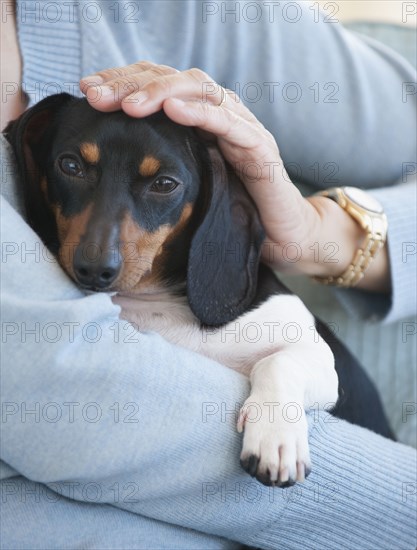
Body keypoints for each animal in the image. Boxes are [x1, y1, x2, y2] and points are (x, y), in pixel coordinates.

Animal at [4, 94, 392, 488]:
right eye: (70, 165)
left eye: (164, 183)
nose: (95, 269)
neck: (160, 302)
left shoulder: (319, 358)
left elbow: (277, 361)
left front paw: (275, 437)